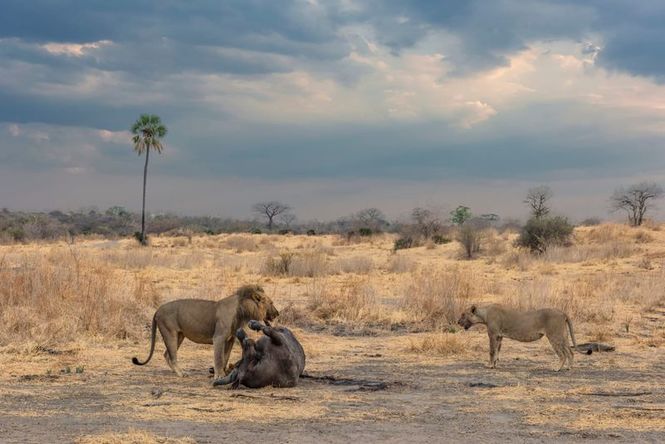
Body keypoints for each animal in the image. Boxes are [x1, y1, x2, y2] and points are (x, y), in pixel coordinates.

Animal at [132, 284, 278, 378]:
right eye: (271, 303)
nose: (277, 313)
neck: (242, 310)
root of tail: (157, 310)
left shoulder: (230, 339)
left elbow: (225, 357)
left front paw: (224, 373)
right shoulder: (219, 338)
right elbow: (219, 358)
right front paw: (219, 376)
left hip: (179, 336)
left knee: (166, 354)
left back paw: (177, 372)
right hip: (170, 333)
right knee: (172, 356)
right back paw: (182, 373)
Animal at [460, 302, 588, 372]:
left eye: (463, 315)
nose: (458, 322)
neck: (484, 314)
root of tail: (562, 312)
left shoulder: (493, 334)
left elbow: (492, 351)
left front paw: (490, 365)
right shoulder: (499, 336)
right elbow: (497, 351)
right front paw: (495, 365)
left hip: (554, 335)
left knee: (562, 354)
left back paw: (557, 368)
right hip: (563, 335)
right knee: (570, 351)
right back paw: (569, 367)